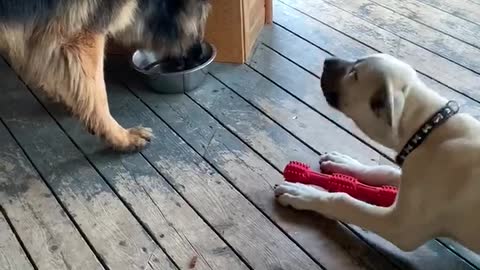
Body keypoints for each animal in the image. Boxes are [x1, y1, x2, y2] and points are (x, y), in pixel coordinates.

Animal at [0, 1, 210, 151]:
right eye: (201, 18)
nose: (201, 55)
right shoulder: (84, 36)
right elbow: (98, 95)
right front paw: (121, 138)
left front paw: (67, 98)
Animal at [274, 53, 480, 252]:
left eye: (354, 74)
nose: (327, 61)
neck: (428, 128)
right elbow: (384, 171)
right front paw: (346, 164)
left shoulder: (399, 226)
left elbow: (344, 202)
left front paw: (304, 193)